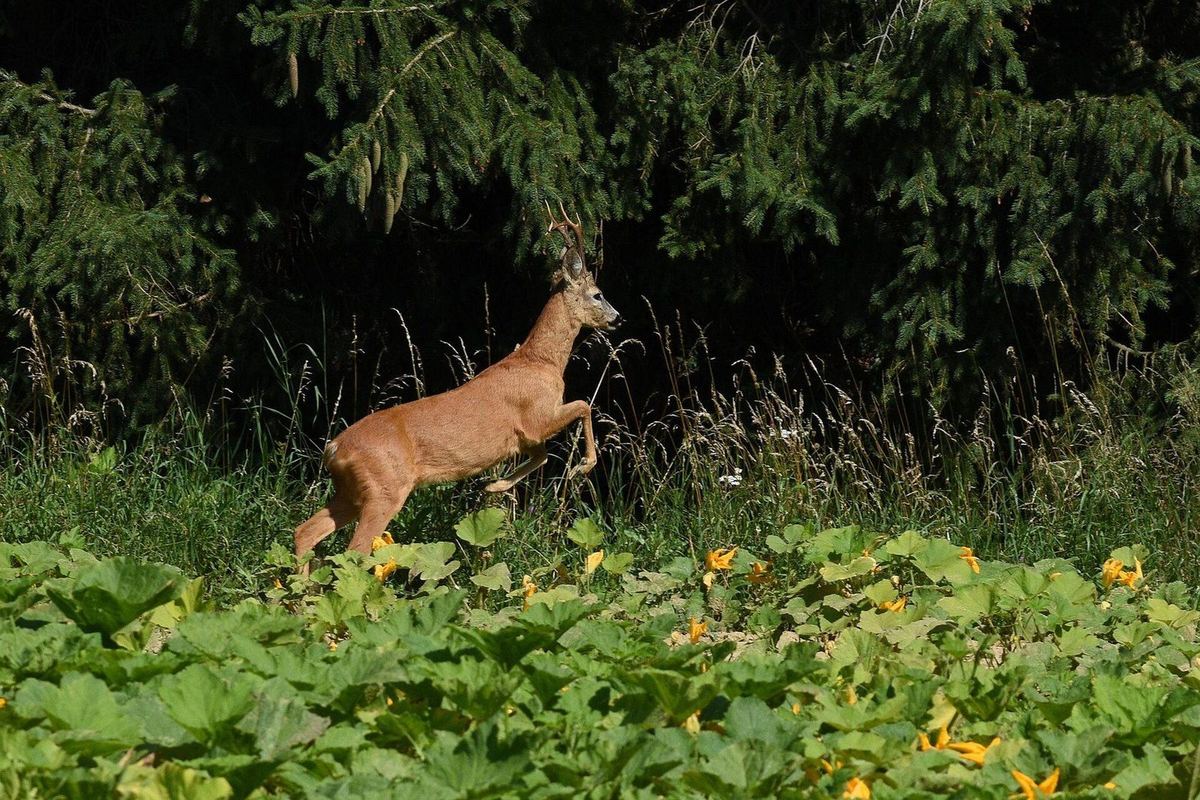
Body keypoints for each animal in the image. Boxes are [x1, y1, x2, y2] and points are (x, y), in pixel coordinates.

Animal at [293, 204, 621, 572]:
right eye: (598, 294)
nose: (618, 317)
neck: (542, 362)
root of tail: (333, 449)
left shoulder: (525, 436)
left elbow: (542, 453)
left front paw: (494, 486)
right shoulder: (536, 417)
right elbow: (583, 406)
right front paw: (583, 465)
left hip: (351, 491)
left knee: (305, 532)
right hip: (384, 490)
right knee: (356, 550)